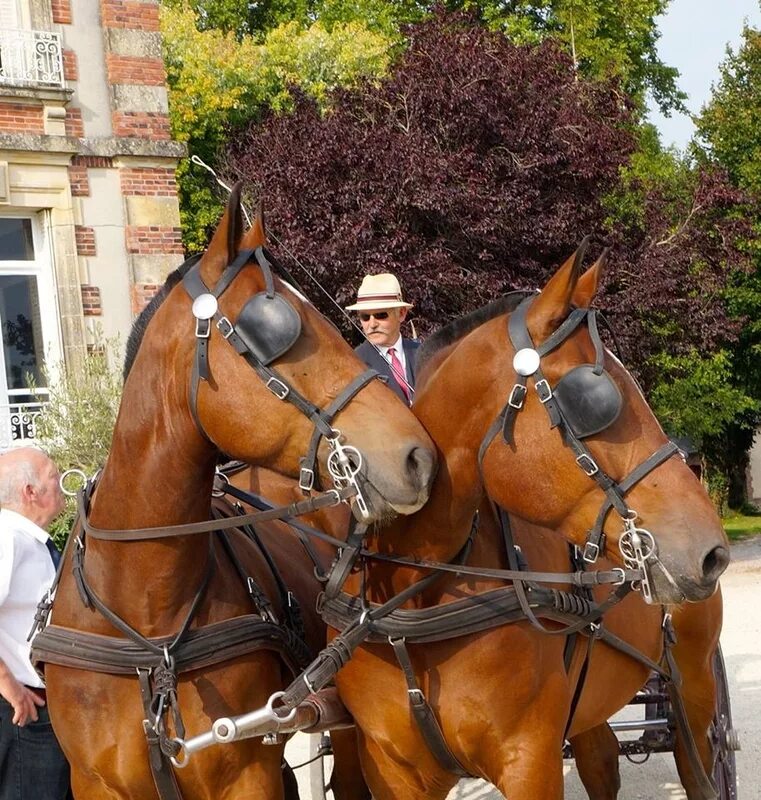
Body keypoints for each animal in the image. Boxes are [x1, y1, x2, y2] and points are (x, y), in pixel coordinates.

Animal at [320, 247, 724, 796]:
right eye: (593, 399)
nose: (712, 551)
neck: (412, 598)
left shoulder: (529, 760)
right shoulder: (392, 770)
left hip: (697, 691)